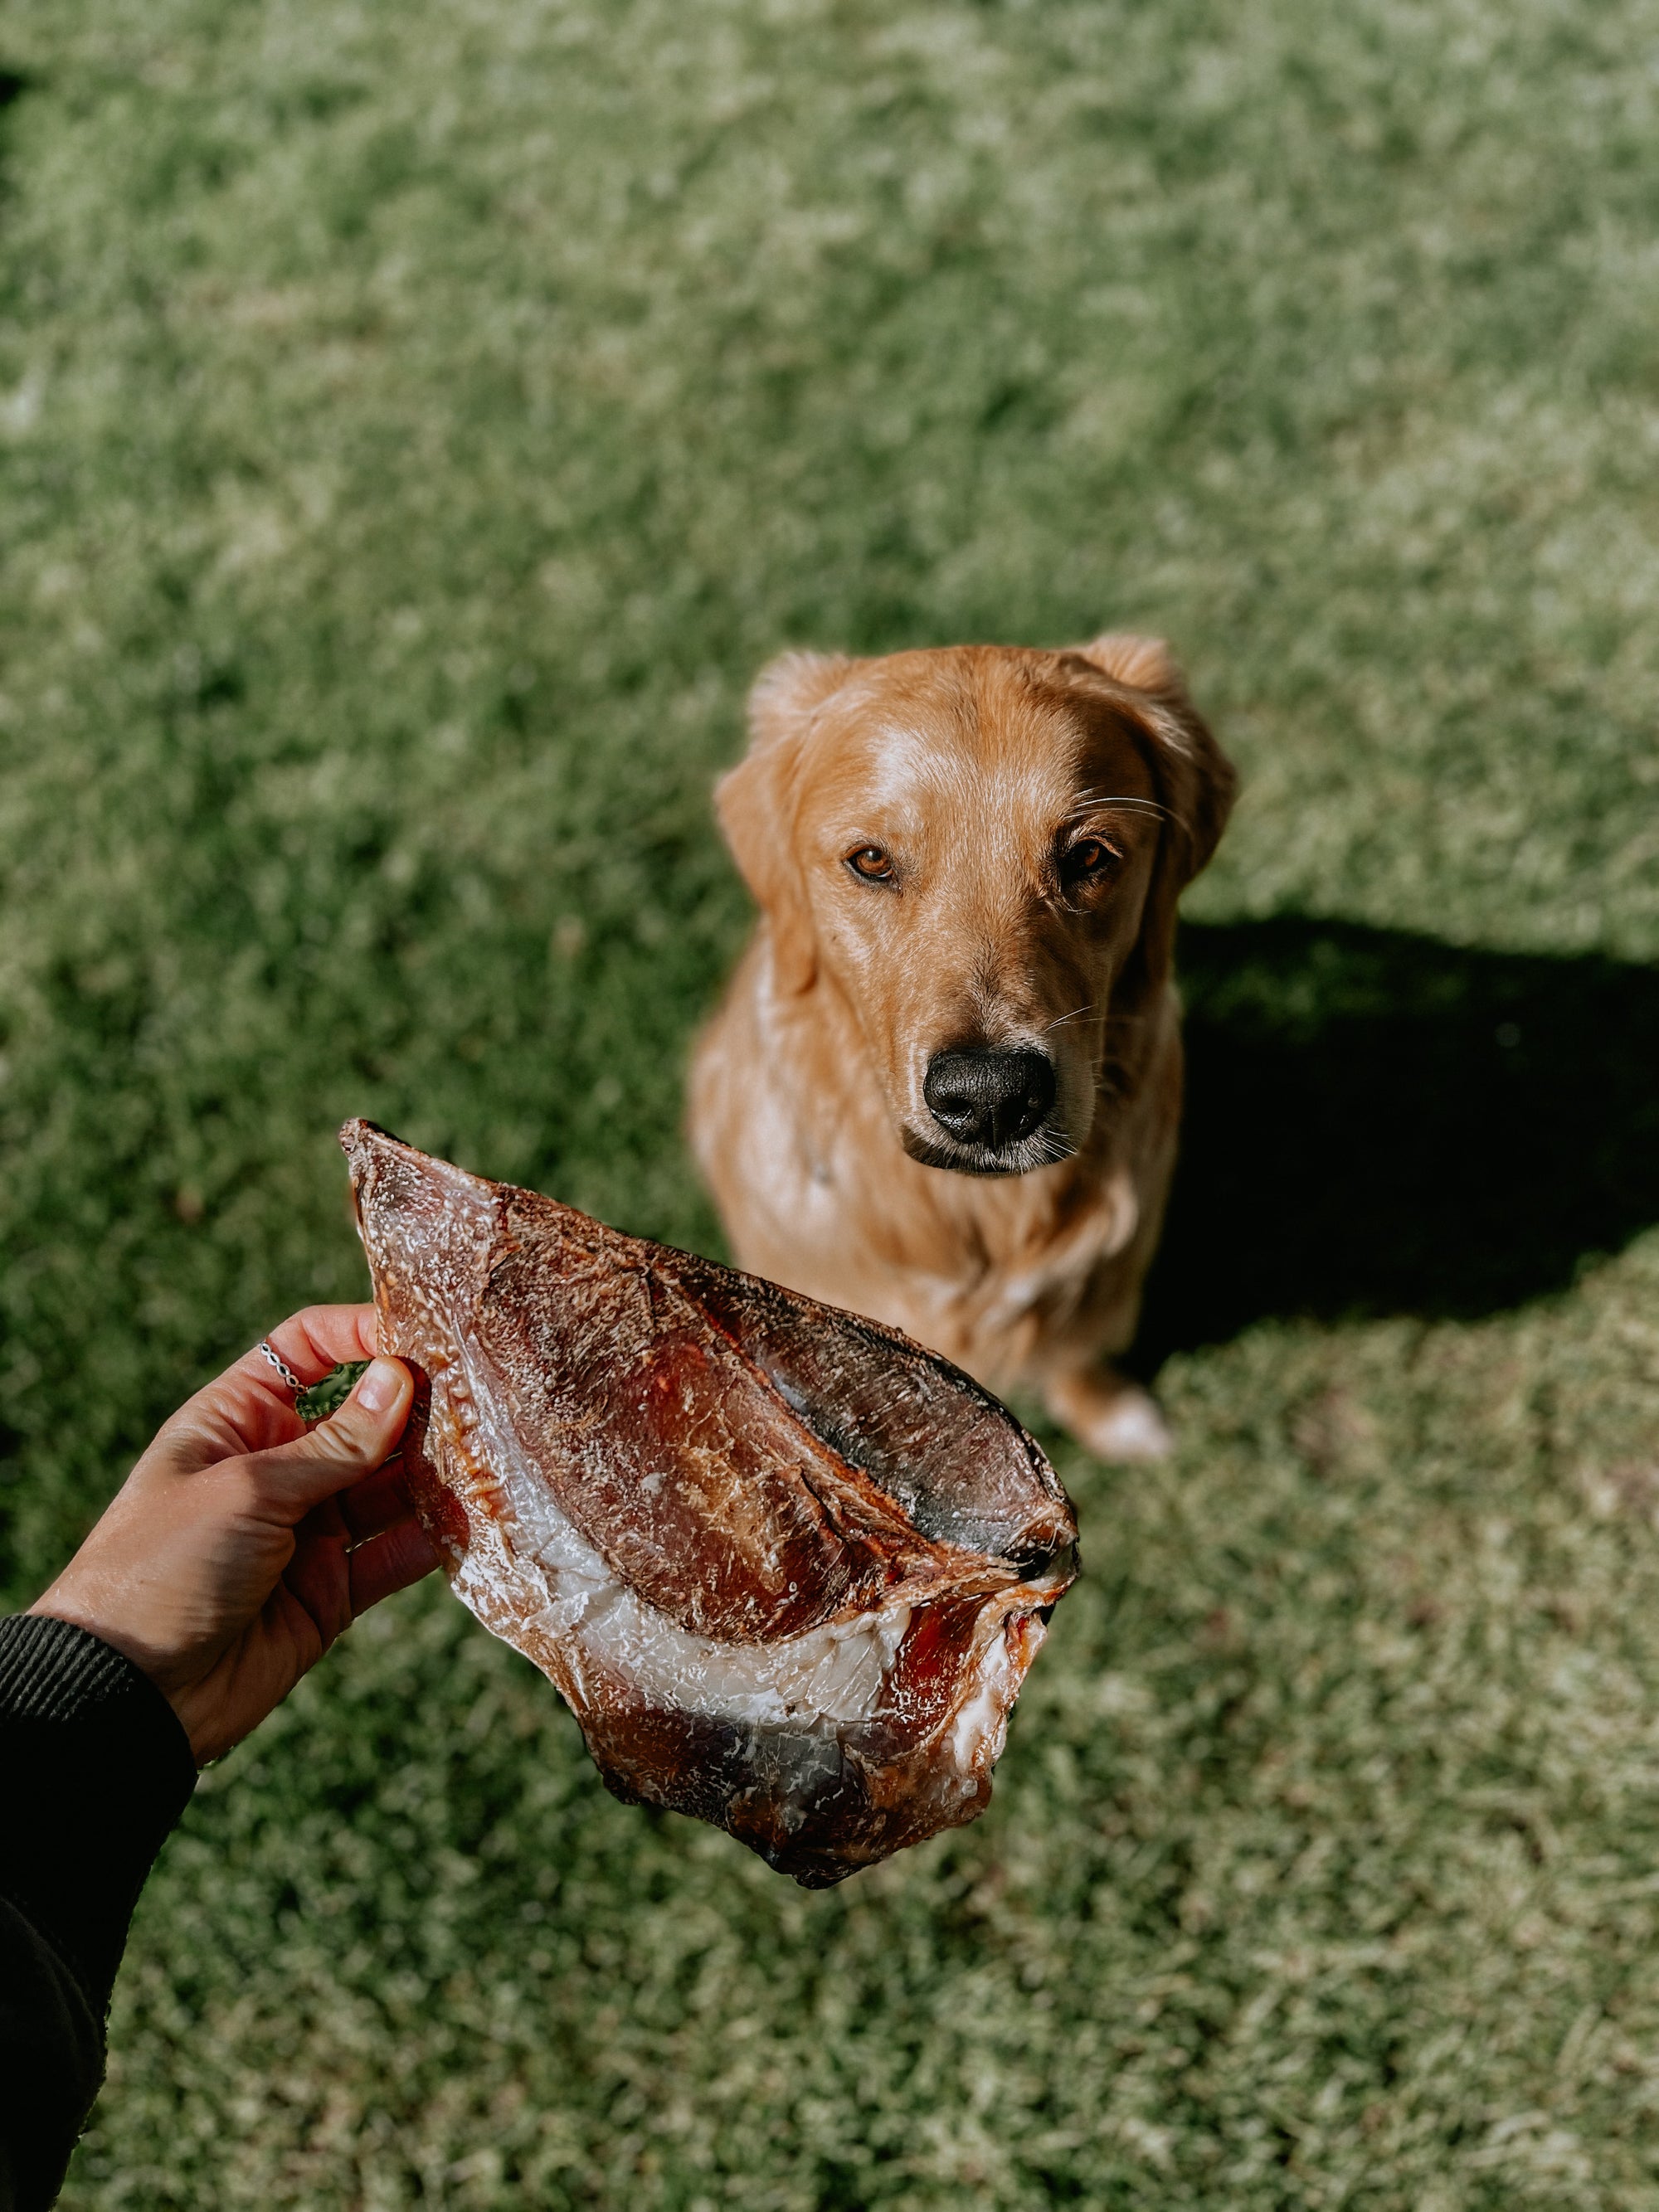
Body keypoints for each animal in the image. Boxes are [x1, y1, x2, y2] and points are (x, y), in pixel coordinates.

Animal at [690, 641, 1238, 1460]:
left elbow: (1076, 1351)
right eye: (872, 861)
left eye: (1089, 856)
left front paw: (1113, 1413)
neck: (974, 1217)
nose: (991, 1098)